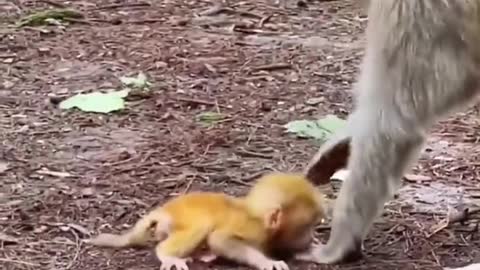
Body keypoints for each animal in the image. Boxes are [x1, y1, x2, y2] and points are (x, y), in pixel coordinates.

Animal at [85, 173, 326, 270]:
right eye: (305, 227)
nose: (309, 237)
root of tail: (163, 210)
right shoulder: (253, 228)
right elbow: (221, 239)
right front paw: (266, 261)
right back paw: (169, 254)